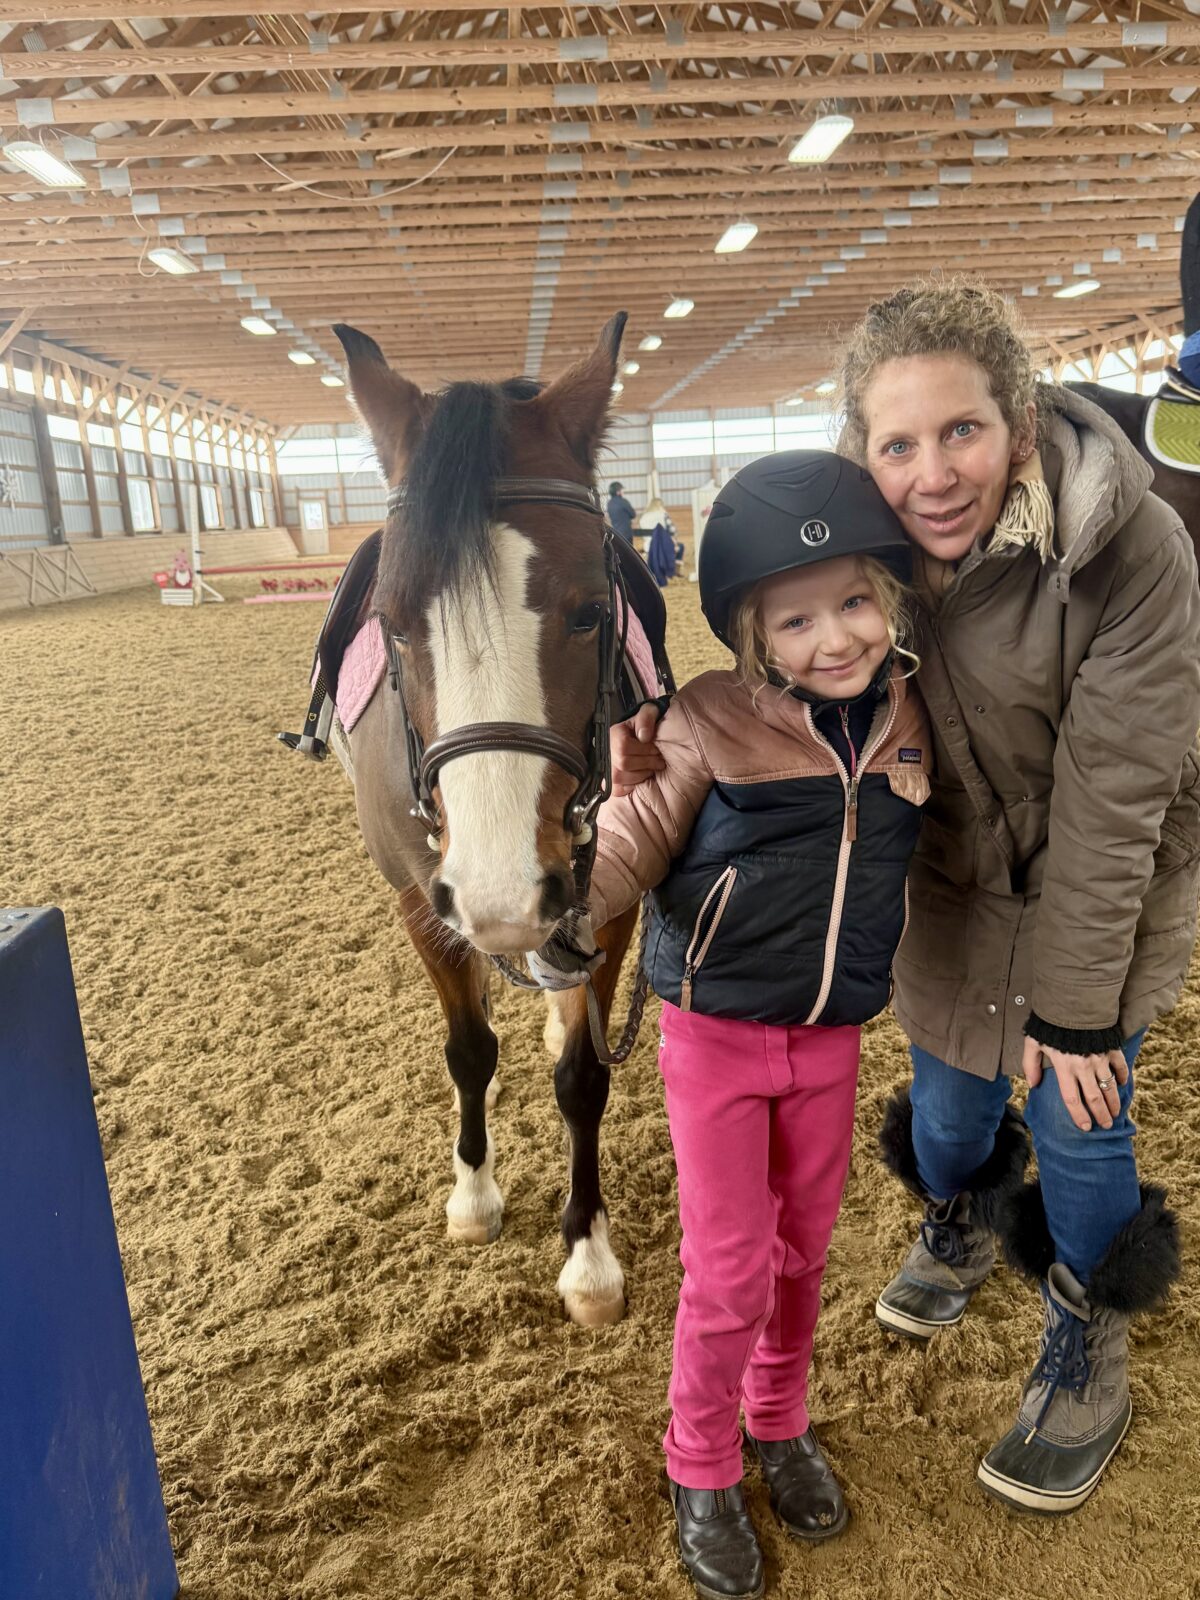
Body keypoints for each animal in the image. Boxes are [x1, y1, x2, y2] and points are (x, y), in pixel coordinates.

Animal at [327, 314, 646, 1327]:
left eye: (590, 612)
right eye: (392, 622)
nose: (503, 892)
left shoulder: (609, 896)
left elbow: (583, 1077)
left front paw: (588, 1255)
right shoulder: (421, 900)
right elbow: (468, 1052)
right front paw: (473, 1196)